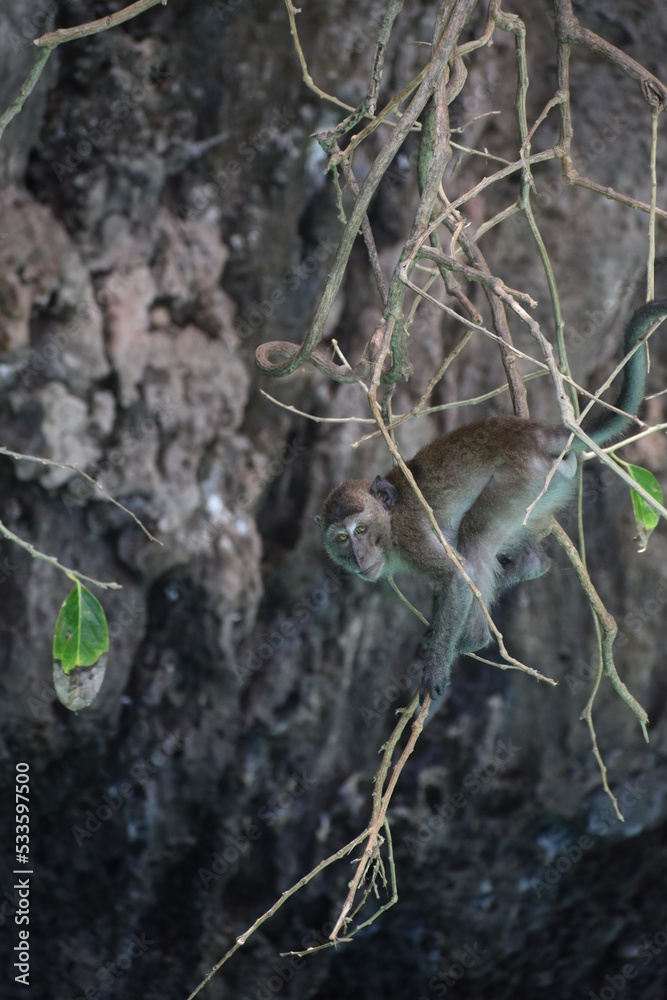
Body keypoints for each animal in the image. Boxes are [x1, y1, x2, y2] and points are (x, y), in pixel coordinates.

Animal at [317, 301, 667, 699]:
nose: (358, 557)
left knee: (476, 539)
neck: (390, 522)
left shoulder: (410, 537)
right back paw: (529, 566)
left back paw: (474, 638)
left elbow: (458, 578)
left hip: (520, 480)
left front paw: (435, 666)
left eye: (361, 529)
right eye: (341, 538)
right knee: (502, 543)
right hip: (543, 489)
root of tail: (537, 434)